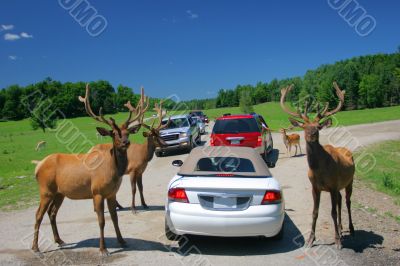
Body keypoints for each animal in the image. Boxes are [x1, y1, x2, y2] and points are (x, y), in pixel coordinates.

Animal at [31, 84, 147, 256]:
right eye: (114, 134)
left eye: (127, 133)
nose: (126, 142)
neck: (112, 171)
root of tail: (38, 166)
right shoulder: (97, 192)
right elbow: (102, 221)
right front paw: (103, 249)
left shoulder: (111, 193)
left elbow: (115, 218)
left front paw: (122, 241)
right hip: (45, 189)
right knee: (38, 214)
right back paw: (36, 248)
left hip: (59, 192)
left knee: (52, 213)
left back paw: (60, 240)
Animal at [280, 81, 354, 249]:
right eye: (305, 127)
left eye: (318, 127)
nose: (312, 134)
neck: (319, 171)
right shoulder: (315, 187)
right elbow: (315, 212)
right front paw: (310, 240)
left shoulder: (333, 186)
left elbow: (332, 212)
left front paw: (337, 241)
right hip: (339, 187)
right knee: (341, 200)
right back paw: (341, 229)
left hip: (350, 181)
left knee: (347, 202)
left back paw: (350, 229)